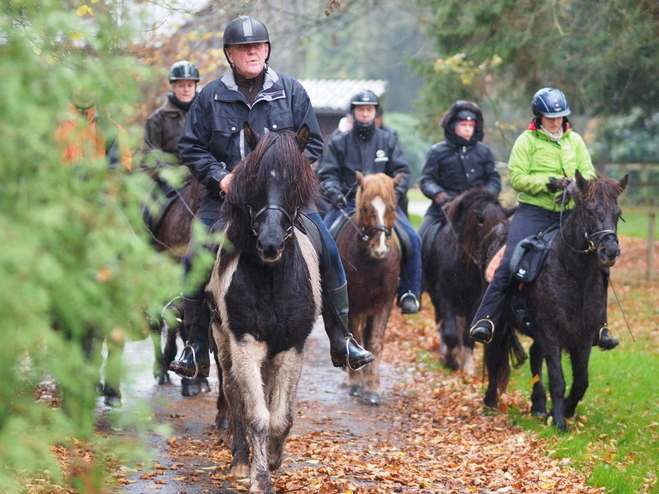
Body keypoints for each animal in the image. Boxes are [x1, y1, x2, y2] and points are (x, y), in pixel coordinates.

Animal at [205, 124, 320, 494]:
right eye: (254, 182)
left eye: (295, 184)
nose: (269, 244)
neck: (271, 279)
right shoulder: (246, 344)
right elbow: (255, 414)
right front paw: (259, 477)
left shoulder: (291, 348)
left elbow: (281, 417)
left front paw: (273, 458)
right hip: (222, 342)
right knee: (234, 395)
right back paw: (240, 459)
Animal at [338, 172, 404, 404]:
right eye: (366, 208)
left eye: (393, 207)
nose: (380, 248)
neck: (372, 263)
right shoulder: (354, 304)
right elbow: (355, 336)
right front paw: (356, 384)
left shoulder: (384, 303)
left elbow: (375, 342)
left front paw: (373, 388)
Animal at [422, 190, 516, 374]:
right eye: (481, 222)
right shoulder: (444, 296)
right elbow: (450, 333)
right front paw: (450, 359)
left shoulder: (475, 301)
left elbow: (467, 333)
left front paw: (468, 367)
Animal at [484, 173, 628, 432]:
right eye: (590, 211)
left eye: (617, 212)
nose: (610, 251)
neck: (572, 274)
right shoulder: (551, 335)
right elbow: (559, 380)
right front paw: (559, 422)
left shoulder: (582, 338)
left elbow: (581, 381)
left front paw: (562, 411)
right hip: (499, 325)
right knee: (493, 354)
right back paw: (490, 403)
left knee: (534, 355)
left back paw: (539, 406)